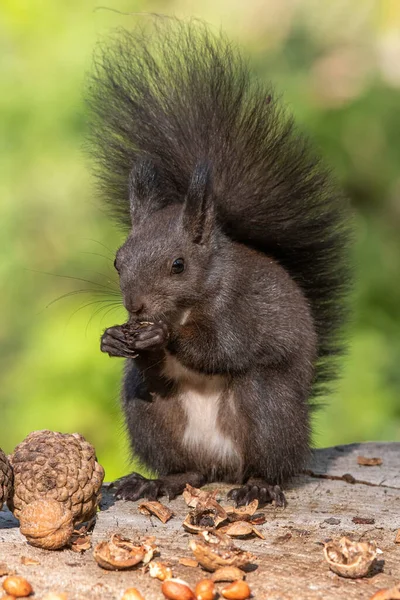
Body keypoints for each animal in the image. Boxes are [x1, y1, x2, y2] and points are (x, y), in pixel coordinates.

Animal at [86, 19, 350, 506]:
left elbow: (223, 347)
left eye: (178, 265)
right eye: (117, 260)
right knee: (185, 466)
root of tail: (223, 466)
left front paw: (164, 335)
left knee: (269, 461)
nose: (135, 308)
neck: (188, 302)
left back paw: (260, 486)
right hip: (151, 417)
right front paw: (114, 338)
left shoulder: (239, 308)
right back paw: (155, 481)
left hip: (266, 406)